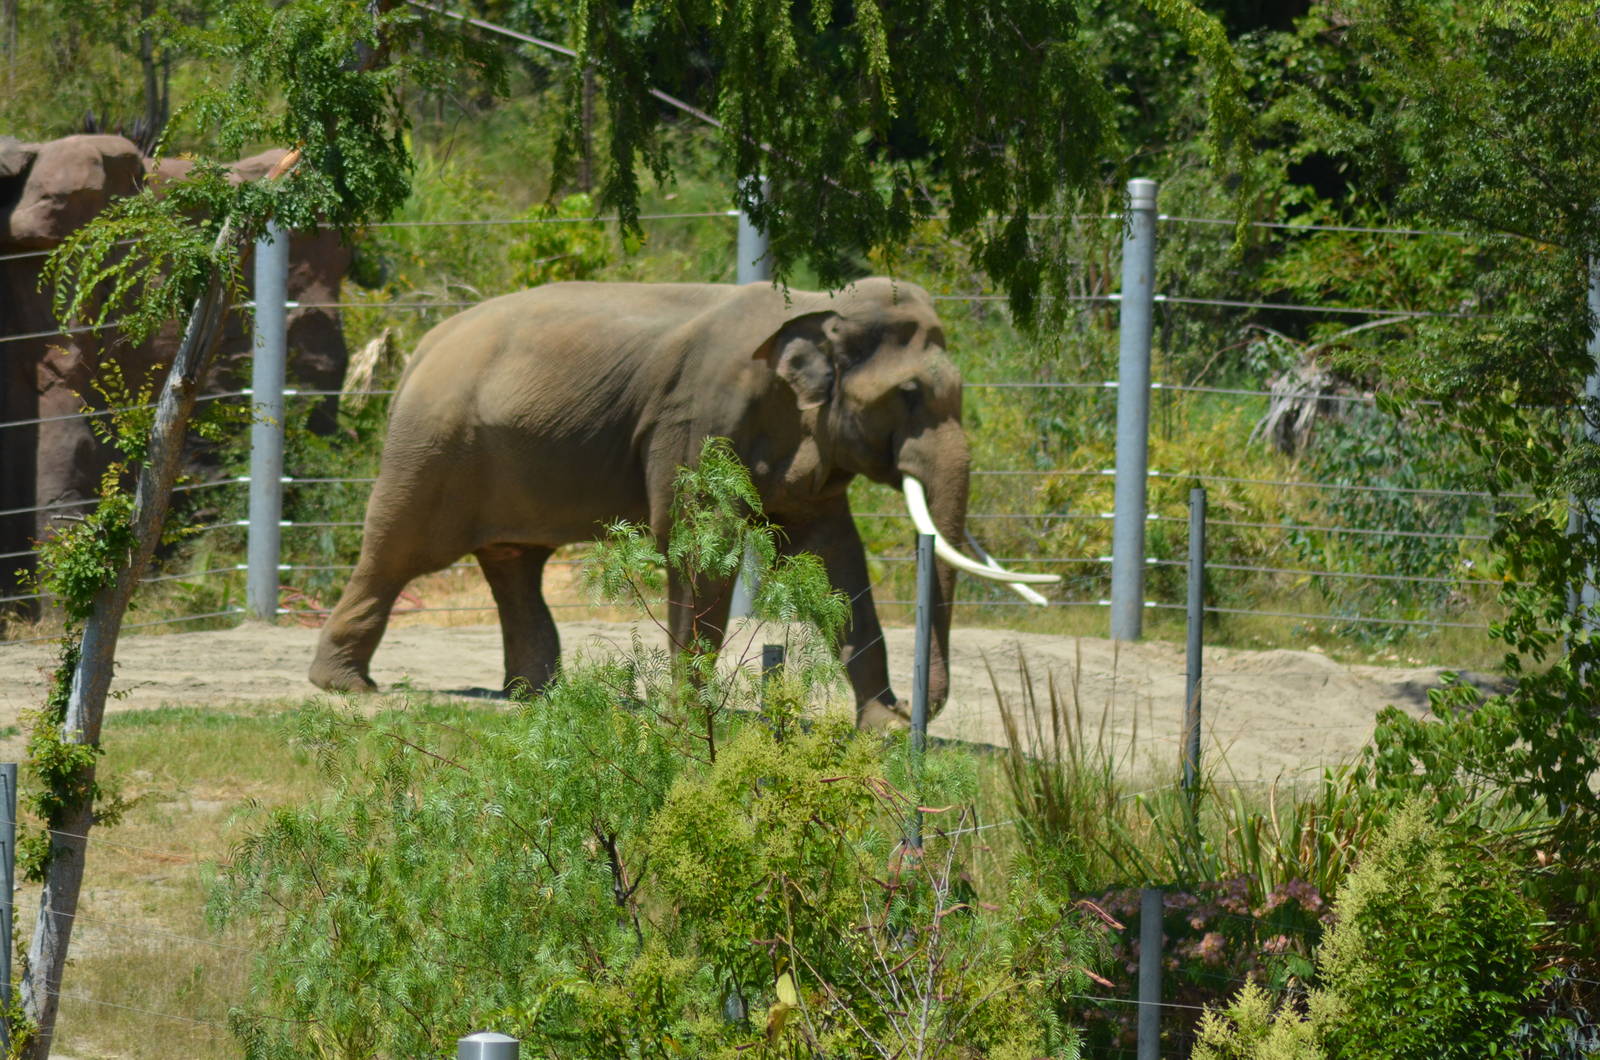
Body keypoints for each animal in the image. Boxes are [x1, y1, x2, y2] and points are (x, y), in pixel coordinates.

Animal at [307, 278, 1056, 724]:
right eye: (908, 395)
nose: (916, 714)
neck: (818, 304)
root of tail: (421, 347)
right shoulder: (702, 418)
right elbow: (698, 541)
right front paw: (689, 717)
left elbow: (836, 558)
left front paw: (877, 730)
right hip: (434, 448)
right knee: (397, 551)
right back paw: (346, 688)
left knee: (514, 562)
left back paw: (535, 697)